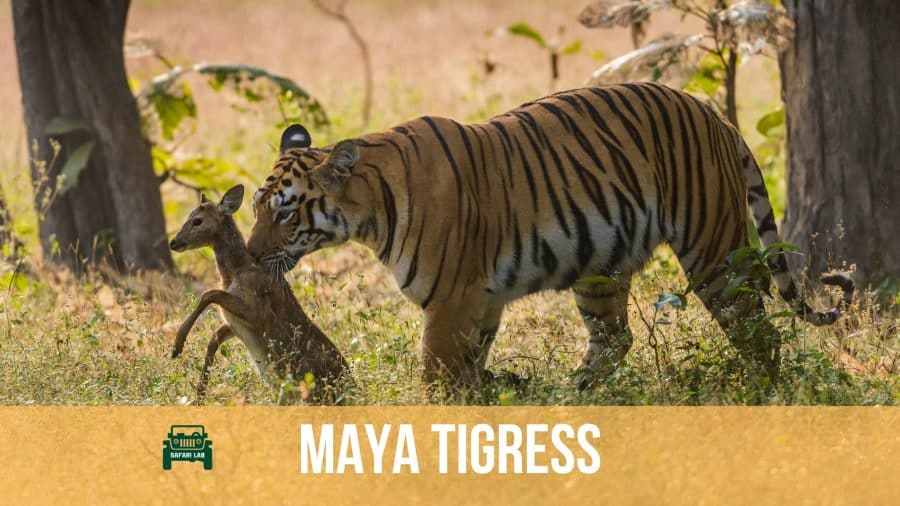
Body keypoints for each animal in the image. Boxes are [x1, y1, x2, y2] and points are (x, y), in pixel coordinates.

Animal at [244, 82, 852, 388]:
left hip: (714, 253)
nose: (248, 255)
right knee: (615, 341)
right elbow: (469, 373)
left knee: (758, 334)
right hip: (601, 267)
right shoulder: (480, 302)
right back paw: (572, 396)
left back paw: (766, 396)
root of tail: (713, 113)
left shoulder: (451, 303)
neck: (369, 211)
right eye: (254, 207)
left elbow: (437, 379)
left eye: (286, 213)